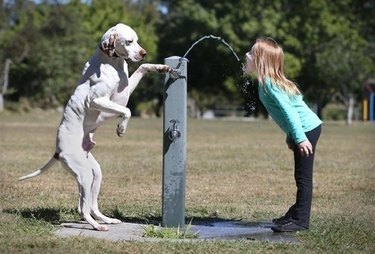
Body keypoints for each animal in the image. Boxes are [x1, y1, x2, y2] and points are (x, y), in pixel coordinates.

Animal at [17, 23, 170, 232]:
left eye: (137, 40)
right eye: (129, 41)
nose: (144, 53)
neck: (111, 62)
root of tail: (58, 151)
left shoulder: (125, 92)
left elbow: (142, 68)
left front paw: (160, 67)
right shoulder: (98, 100)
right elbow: (127, 110)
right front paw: (121, 128)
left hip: (95, 173)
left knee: (91, 205)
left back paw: (106, 220)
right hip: (84, 175)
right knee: (82, 208)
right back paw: (97, 226)